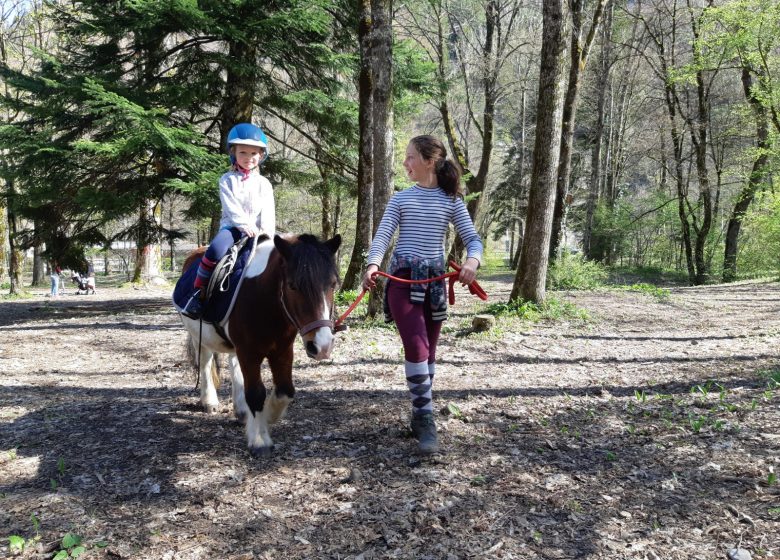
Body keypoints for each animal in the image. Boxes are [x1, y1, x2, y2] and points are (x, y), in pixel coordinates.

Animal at [183, 232, 344, 456]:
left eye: (332, 284)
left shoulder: (282, 351)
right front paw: (259, 440)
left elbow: (285, 391)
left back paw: (241, 410)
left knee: (233, 364)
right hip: (199, 334)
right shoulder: (249, 352)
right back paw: (210, 401)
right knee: (205, 363)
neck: (264, 299)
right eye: (292, 286)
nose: (322, 346)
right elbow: (256, 393)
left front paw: (268, 416)